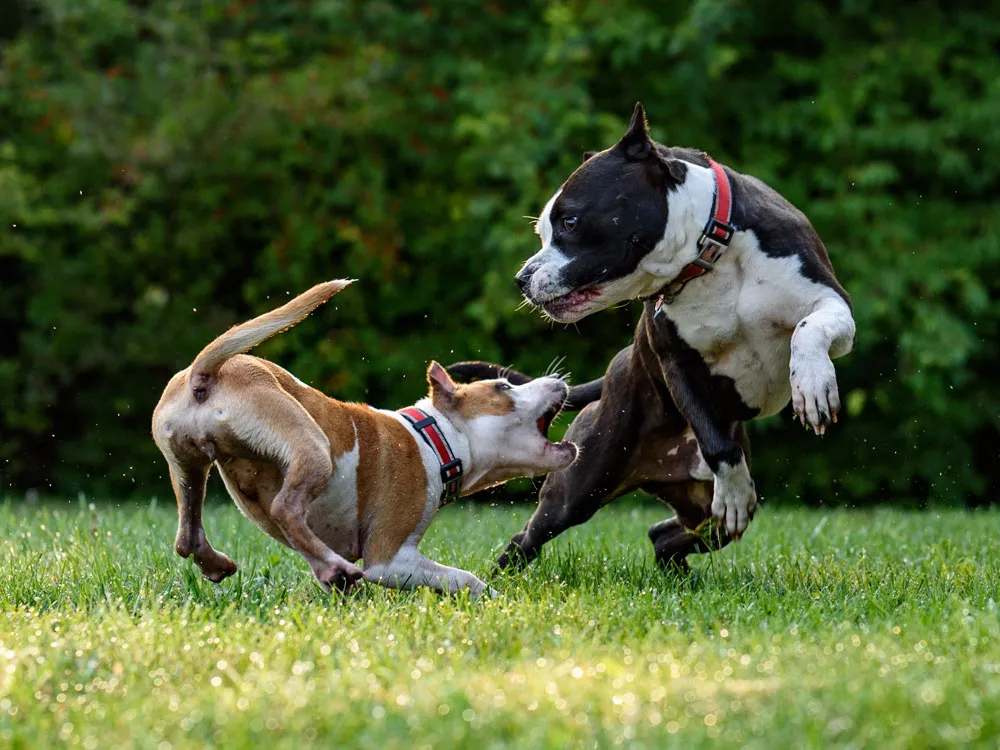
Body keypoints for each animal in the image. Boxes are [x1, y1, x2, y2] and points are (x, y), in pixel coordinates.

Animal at [147, 280, 572, 600]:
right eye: (503, 387)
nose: (559, 380)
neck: (435, 438)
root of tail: (204, 374)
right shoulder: (390, 558)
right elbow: (463, 578)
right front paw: (498, 601)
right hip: (311, 445)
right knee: (285, 507)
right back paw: (335, 567)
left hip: (187, 465)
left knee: (187, 536)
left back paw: (228, 564)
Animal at [450, 104, 856, 568]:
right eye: (544, 232)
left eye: (570, 221)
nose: (521, 278)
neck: (709, 255)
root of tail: (614, 370)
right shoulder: (676, 362)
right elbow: (717, 445)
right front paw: (735, 491)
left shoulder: (832, 302)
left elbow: (808, 328)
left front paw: (813, 385)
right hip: (581, 485)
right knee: (530, 535)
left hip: (700, 511)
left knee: (666, 533)